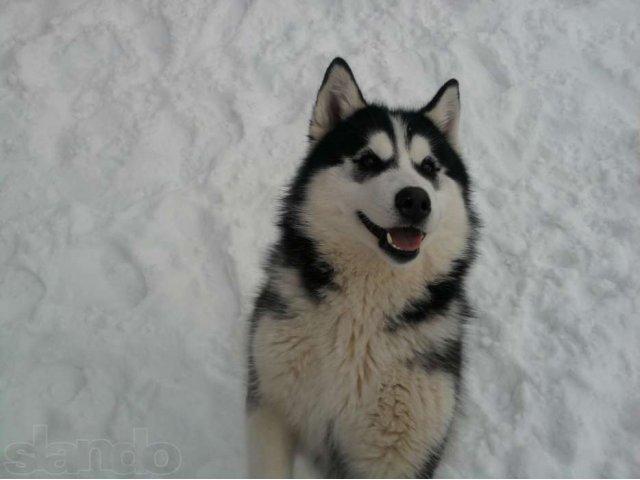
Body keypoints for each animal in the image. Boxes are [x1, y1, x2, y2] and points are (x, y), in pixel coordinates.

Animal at [248, 58, 478, 478]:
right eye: (369, 160)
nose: (415, 200)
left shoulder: (399, 451)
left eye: (429, 166)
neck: (361, 318)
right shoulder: (271, 403)